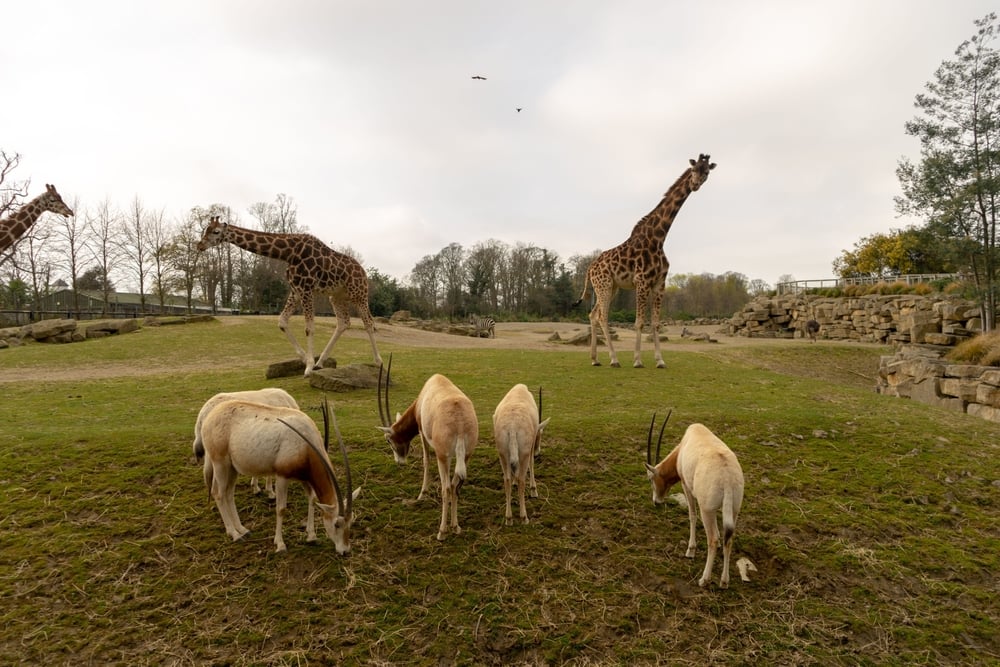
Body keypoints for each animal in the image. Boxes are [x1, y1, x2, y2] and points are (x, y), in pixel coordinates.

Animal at [197, 217, 382, 376]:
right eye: (205, 229)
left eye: (216, 231)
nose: (199, 245)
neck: (289, 253)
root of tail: (363, 272)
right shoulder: (296, 290)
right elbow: (282, 321)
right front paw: (305, 360)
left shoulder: (306, 288)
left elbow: (309, 327)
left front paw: (308, 367)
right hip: (336, 296)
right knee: (344, 322)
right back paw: (320, 362)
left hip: (358, 294)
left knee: (369, 322)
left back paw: (378, 361)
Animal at [573, 154, 716, 368]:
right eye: (693, 169)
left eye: (706, 172)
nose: (696, 184)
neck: (659, 238)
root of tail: (590, 268)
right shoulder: (642, 281)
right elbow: (639, 322)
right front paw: (638, 360)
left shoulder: (659, 283)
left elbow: (655, 323)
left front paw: (660, 360)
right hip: (604, 285)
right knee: (602, 316)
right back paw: (614, 359)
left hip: (611, 287)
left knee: (593, 315)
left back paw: (595, 359)